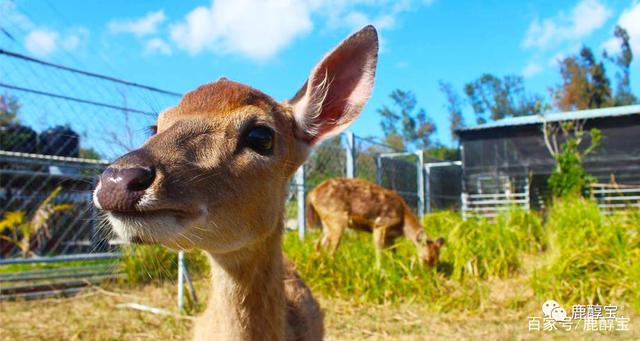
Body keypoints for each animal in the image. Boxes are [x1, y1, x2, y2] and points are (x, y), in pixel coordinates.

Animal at [306, 177, 444, 266]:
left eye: (437, 259)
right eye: (426, 259)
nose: (429, 276)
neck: (403, 223)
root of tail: (311, 194)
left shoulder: (391, 237)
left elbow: (393, 252)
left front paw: (395, 268)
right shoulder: (380, 225)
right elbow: (379, 250)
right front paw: (380, 271)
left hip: (327, 222)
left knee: (318, 243)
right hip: (337, 219)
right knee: (329, 249)